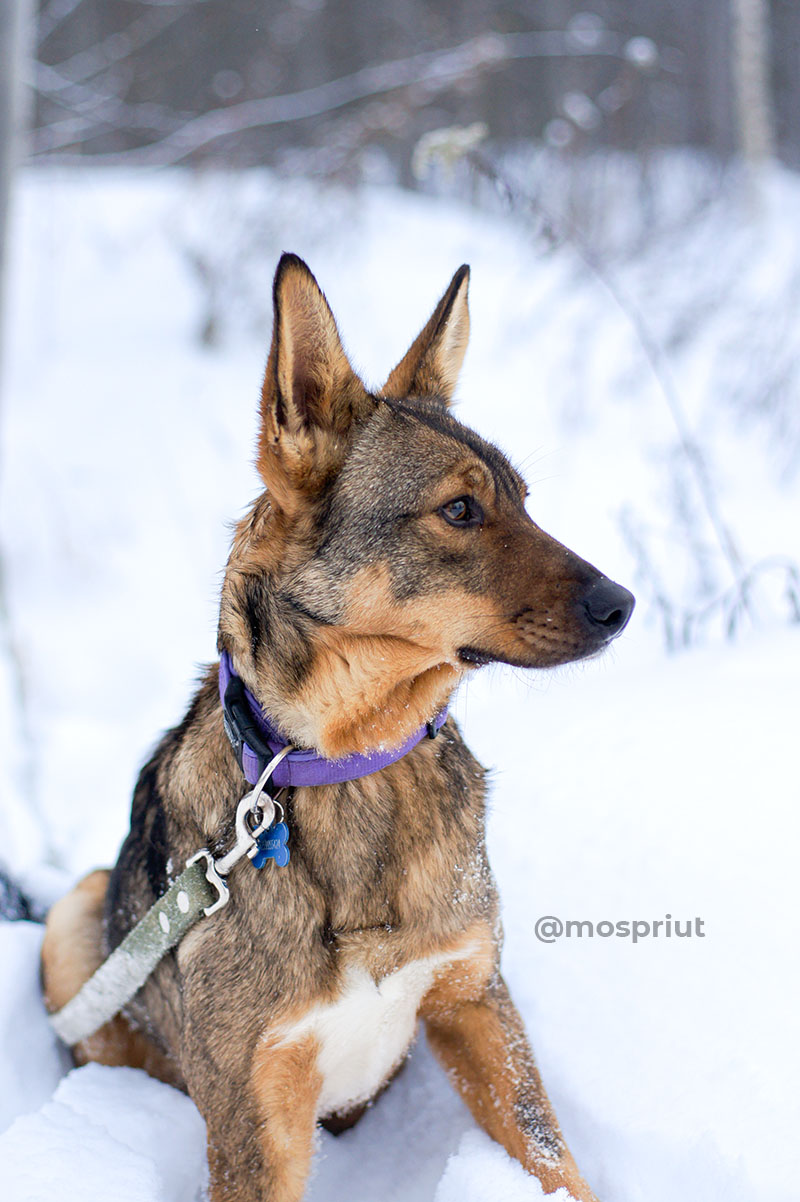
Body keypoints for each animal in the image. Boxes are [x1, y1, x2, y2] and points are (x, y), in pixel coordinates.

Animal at [42, 256, 629, 1202]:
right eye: (459, 511)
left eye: (526, 503)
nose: (625, 605)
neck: (355, 767)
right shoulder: (259, 1109)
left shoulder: (476, 1000)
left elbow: (553, 1159)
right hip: (76, 919)